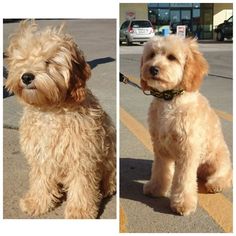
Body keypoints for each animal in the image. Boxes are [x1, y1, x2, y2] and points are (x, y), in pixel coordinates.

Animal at [5, 20, 115, 219]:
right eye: (23, 59)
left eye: (48, 61)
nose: (26, 76)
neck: (50, 110)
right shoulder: (40, 154)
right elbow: (40, 179)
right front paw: (37, 202)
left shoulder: (82, 155)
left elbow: (82, 184)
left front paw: (79, 211)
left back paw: (106, 188)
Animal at [140, 35, 232, 216]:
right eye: (151, 55)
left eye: (172, 57)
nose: (153, 69)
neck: (169, 100)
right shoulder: (160, 146)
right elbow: (160, 170)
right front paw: (156, 188)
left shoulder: (188, 150)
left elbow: (183, 180)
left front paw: (183, 203)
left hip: (219, 159)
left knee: (226, 175)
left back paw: (216, 184)